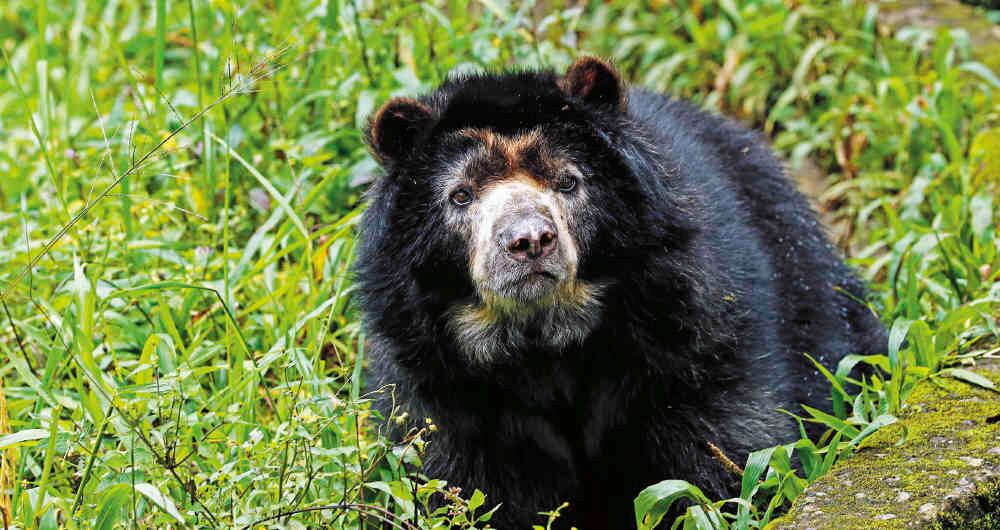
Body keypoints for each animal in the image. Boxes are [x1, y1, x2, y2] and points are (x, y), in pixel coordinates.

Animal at [354, 57, 887, 529]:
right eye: (460, 195)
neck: (545, 341)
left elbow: (726, 449)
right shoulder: (444, 390)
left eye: (568, 181)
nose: (529, 240)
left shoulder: (689, 335)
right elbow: (467, 486)